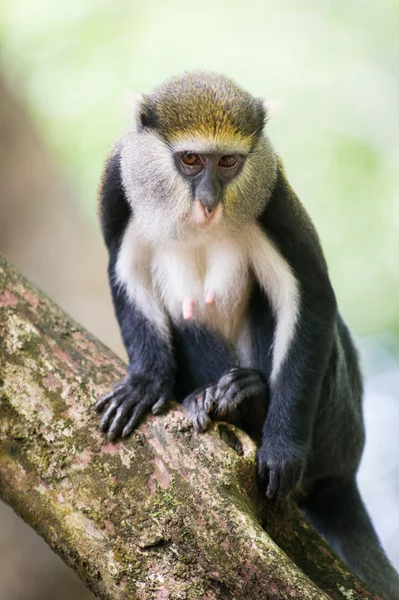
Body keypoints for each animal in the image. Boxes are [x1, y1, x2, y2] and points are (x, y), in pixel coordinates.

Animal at [95, 71, 399, 600]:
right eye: (191, 160)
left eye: (229, 162)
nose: (209, 202)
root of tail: (346, 473)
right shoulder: (117, 187)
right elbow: (125, 273)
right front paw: (144, 384)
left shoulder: (272, 193)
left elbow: (311, 296)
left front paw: (280, 446)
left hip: (337, 429)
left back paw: (250, 400)